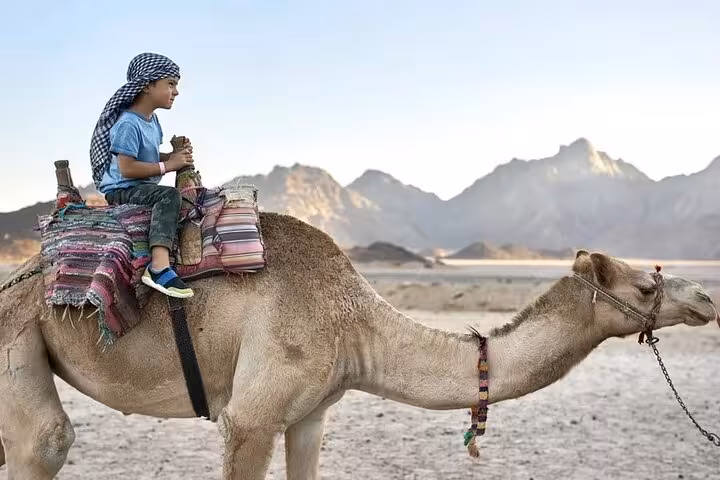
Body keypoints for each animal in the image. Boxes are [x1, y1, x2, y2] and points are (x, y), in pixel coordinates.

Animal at [0, 212, 718, 479]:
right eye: (646, 284)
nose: (707, 300)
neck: (356, 325)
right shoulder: (251, 417)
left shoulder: (310, 414)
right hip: (17, 331)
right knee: (47, 441)